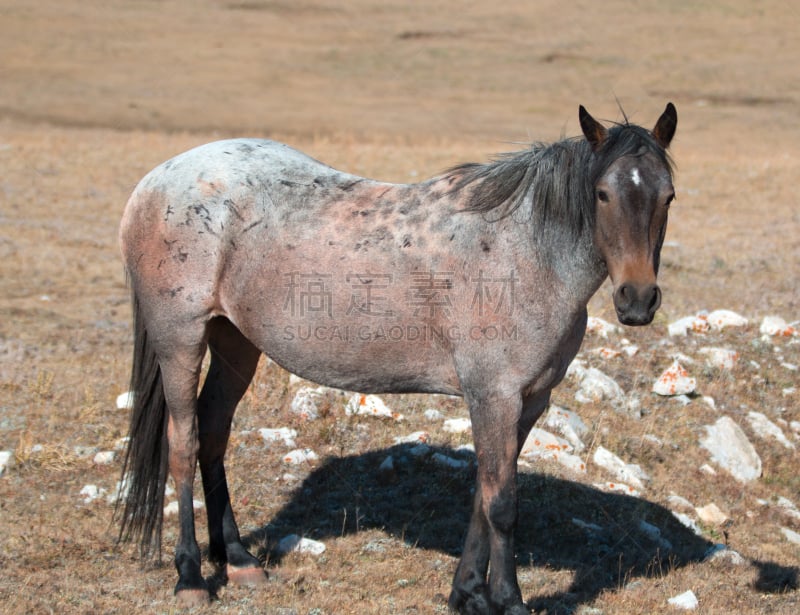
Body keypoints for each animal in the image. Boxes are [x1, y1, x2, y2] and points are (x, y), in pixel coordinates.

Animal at [117, 103, 676, 612]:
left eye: (667, 196)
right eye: (602, 194)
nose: (637, 300)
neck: (523, 253)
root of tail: (155, 181)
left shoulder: (530, 400)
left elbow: (483, 494)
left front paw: (466, 594)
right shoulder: (494, 396)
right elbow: (502, 504)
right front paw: (507, 600)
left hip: (236, 341)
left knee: (213, 432)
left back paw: (236, 559)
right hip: (180, 340)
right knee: (184, 443)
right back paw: (190, 575)